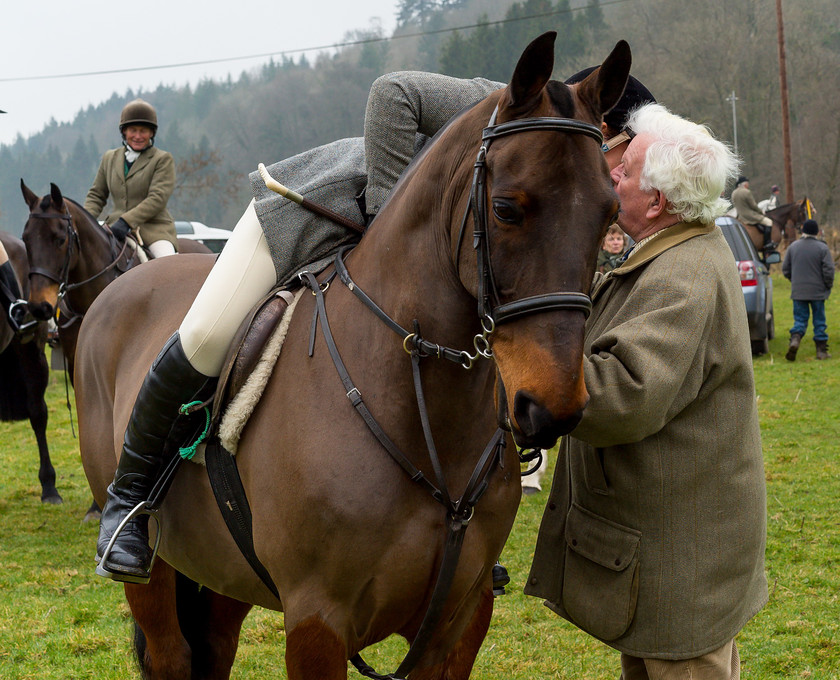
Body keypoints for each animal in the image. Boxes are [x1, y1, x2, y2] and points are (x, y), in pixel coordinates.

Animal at [77, 31, 632, 680]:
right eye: (506, 210)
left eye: (610, 213)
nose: (551, 409)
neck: (420, 409)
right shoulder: (317, 620)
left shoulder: (459, 620)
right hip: (155, 571)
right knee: (169, 649)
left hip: (225, 573)